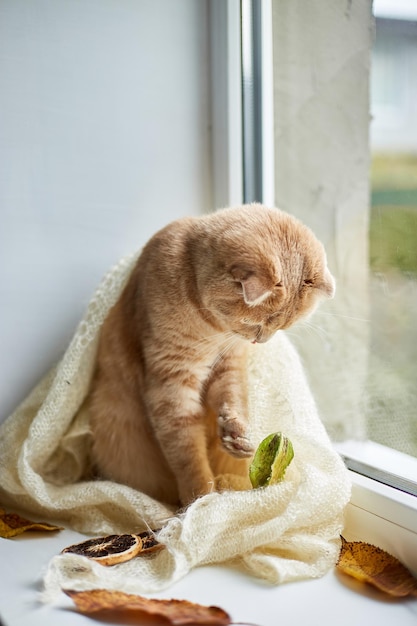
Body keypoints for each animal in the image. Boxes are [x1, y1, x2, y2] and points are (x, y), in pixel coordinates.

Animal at [88, 205, 334, 508]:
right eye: (255, 323)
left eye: (281, 327)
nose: (261, 340)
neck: (213, 330)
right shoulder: (172, 385)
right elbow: (187, 453)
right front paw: (200, 500)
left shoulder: (228, 366)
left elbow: (233, 398)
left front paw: (236, 433)